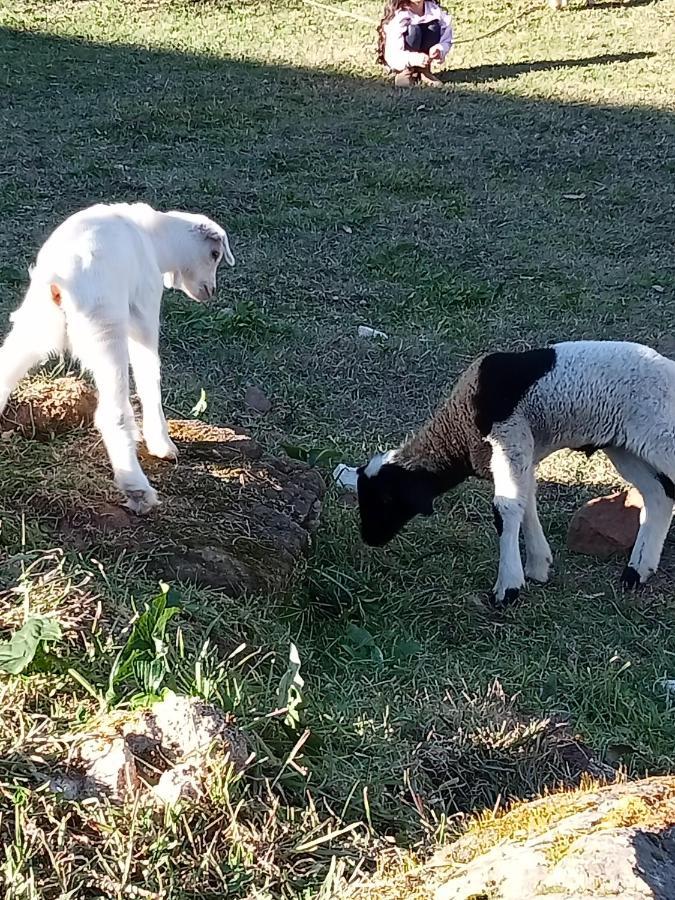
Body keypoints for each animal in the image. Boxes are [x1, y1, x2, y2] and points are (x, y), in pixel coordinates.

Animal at [0, 203, 235, 512]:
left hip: (36, 325)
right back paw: (137, 489)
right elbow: (149, 376)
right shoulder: (144, 312)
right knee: (112, 413)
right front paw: (162, 443)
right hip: (106, 332)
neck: (152, 237)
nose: (211, 291)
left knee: (7, 367)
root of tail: (60, 276)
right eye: (215, 254)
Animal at [356, 342, 675, 608]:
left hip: (661, 438)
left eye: (385, 499)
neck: (458, 430)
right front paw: (538, 566)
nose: (369, 538)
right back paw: (637, 570)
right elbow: (525, 502)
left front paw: (507, 587)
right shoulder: (522, 455)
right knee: (659, 498)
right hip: (625, 447)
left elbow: (506, 510)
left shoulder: (509, 440)